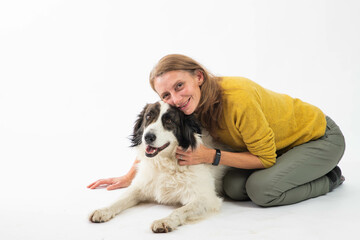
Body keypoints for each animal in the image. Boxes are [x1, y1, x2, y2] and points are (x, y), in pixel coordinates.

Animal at [89, 101, 226, 232]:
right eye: (148, 116)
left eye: (169, 120)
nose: (148, 137)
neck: (164, 164)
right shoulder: (139, 187)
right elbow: (120, 200)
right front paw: (104, 210)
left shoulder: (206, 199)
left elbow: (179, 210)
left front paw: (165, 221)